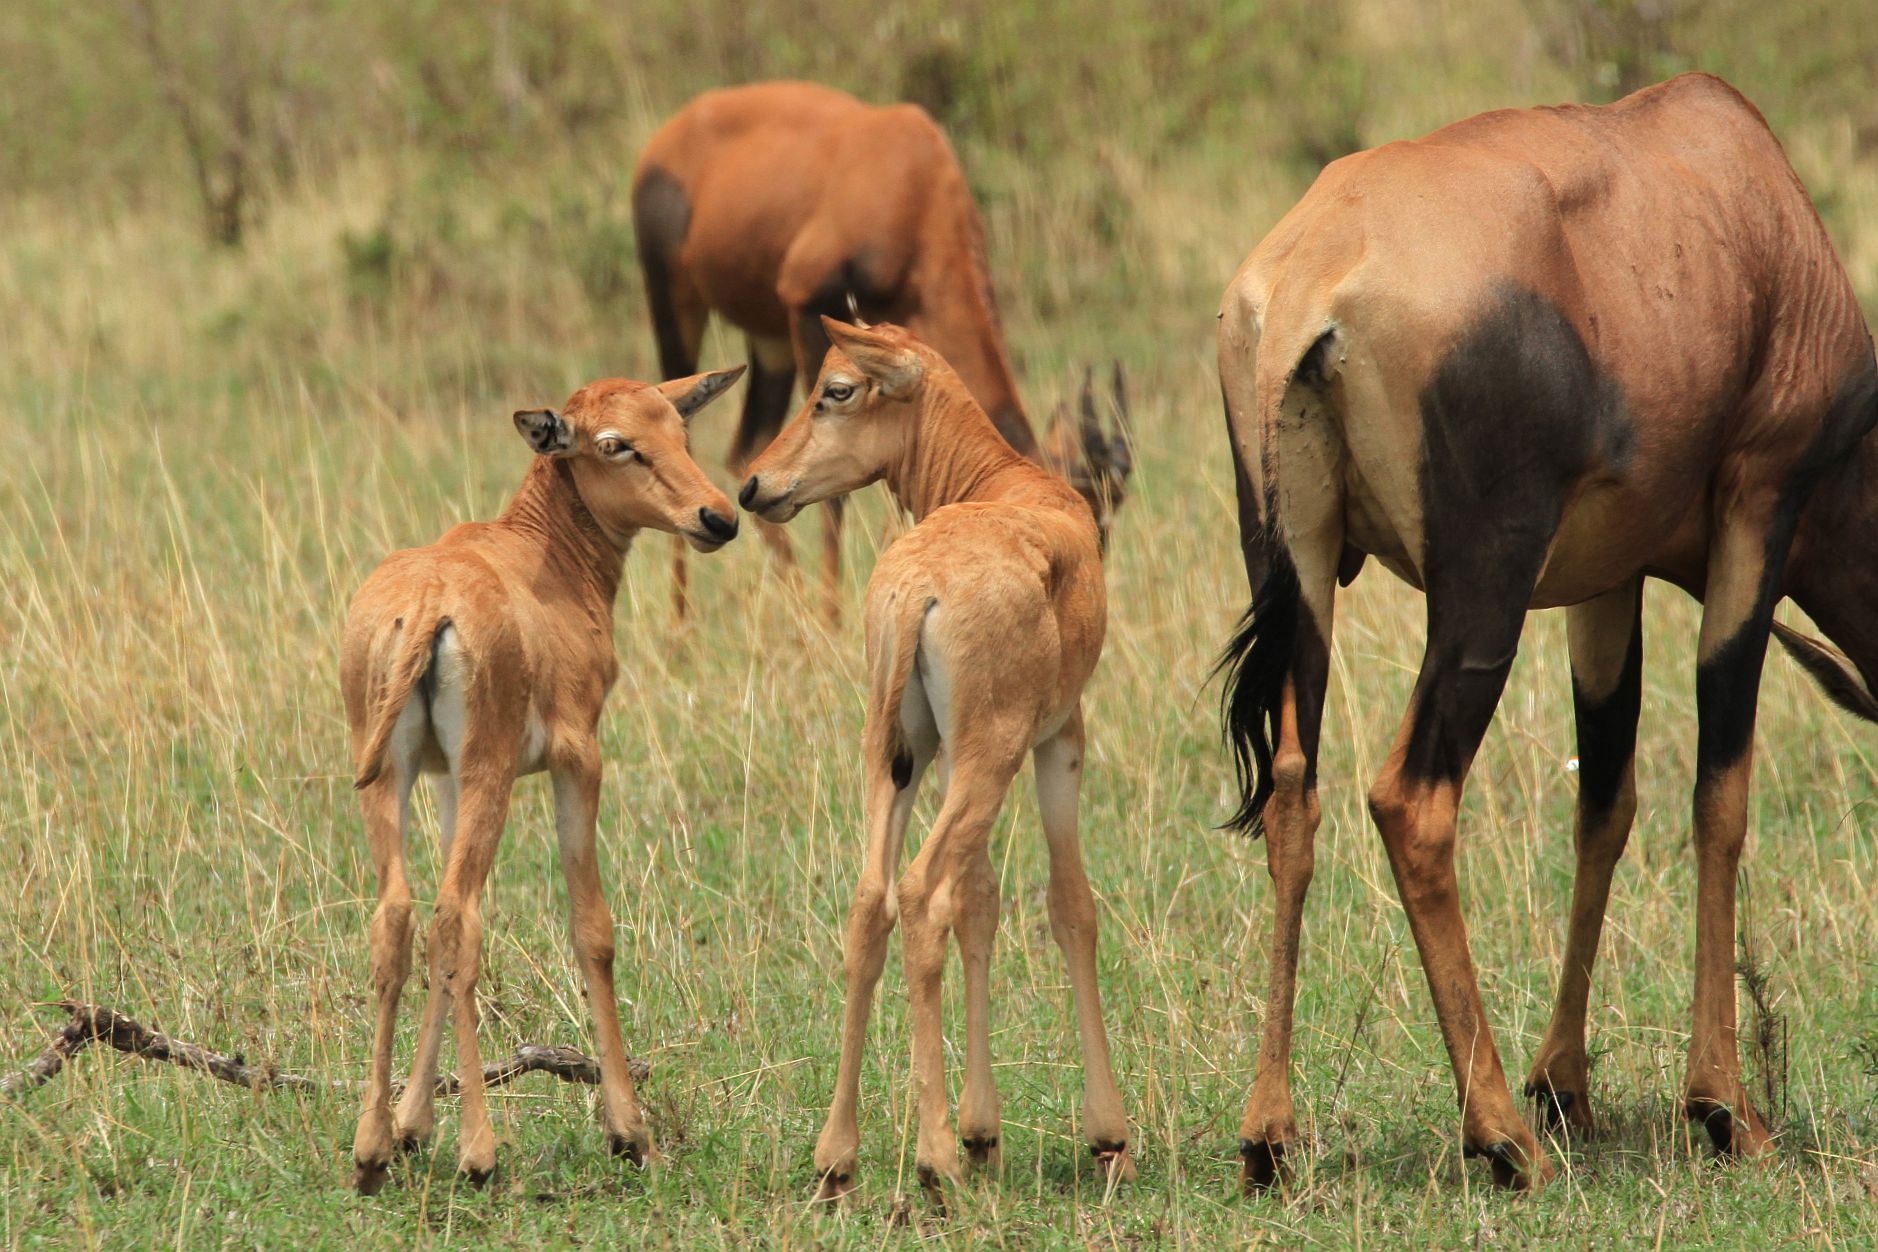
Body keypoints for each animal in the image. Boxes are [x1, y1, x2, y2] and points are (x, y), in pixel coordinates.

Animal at [343, 367, 739, 1193]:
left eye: (678, 430)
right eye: (615, 443)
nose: (717, 517)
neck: (538, 557)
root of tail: (427, 601)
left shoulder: (447, 780)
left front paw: (410, 1126)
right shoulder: (577, 759)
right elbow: (593, 929)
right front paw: (631, 1134)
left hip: (389, 776)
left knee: (401, 917)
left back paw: (370, 1153)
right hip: (492, 773)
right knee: (457, 916)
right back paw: (480, 1155)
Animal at [634, 80, 1126, 619]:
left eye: (1100, 533)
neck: (911, 176)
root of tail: (669, 134)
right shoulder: (808, 309)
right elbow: (834, 498)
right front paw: (833, 620)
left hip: (769, 340)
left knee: (745, 447)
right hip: (677, 300)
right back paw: (683, 624)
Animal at [739, 319, 1134, 1201]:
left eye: (837, 389)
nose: (752, 486)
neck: (1014, 488)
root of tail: (916, 587)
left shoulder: (955, 756)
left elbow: (981, 902)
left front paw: (986, 1132)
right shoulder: (1058, 739)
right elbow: (1069, 904)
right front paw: (1107, 1136)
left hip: (898, 756)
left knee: (872, 901)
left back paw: (838, 1155)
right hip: (987, 759)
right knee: (921, 892)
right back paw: (933, 1159)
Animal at [1216, 76, 1878, 1193]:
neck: (1746, 190)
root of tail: (1313, 276)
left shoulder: (1603, 581)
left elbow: (1605, 805)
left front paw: (1566, 1086)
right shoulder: (1760, 504)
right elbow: (1720, 797)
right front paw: (1725, 1109)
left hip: (1291, 563)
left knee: (1295, 790)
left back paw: (1271, 1133)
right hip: (1483, 591)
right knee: (1411, 799)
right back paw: (1501, 1140)